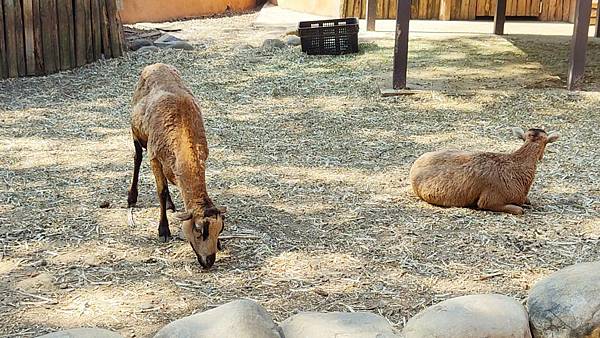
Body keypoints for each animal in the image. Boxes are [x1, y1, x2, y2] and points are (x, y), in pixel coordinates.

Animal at [126, 63, 227, 270]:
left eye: (219, 229)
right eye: (198, 230)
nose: (209, 261)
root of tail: (156, 64)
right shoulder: (154, 157)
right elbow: (161, 191)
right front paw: (163, 230)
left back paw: (170, 204)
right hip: (136, 132)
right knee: (137, 158)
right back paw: (132, 197)